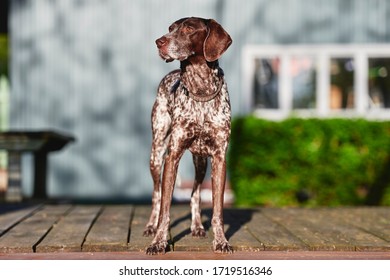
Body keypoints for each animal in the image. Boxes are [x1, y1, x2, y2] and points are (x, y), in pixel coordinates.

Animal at [145, 16, 233, 255]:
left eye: (189, 28)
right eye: (170, 29)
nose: (159, 42)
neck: (200, 90)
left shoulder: (219, 158)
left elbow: (217, 211)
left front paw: (221, 241)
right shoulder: (172, 155)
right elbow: (165, 210)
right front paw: (158, 242)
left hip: (200, 160)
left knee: (195, 192)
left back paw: (197, 226)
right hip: (157, 153)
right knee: (156, 194)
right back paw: (150, 226)